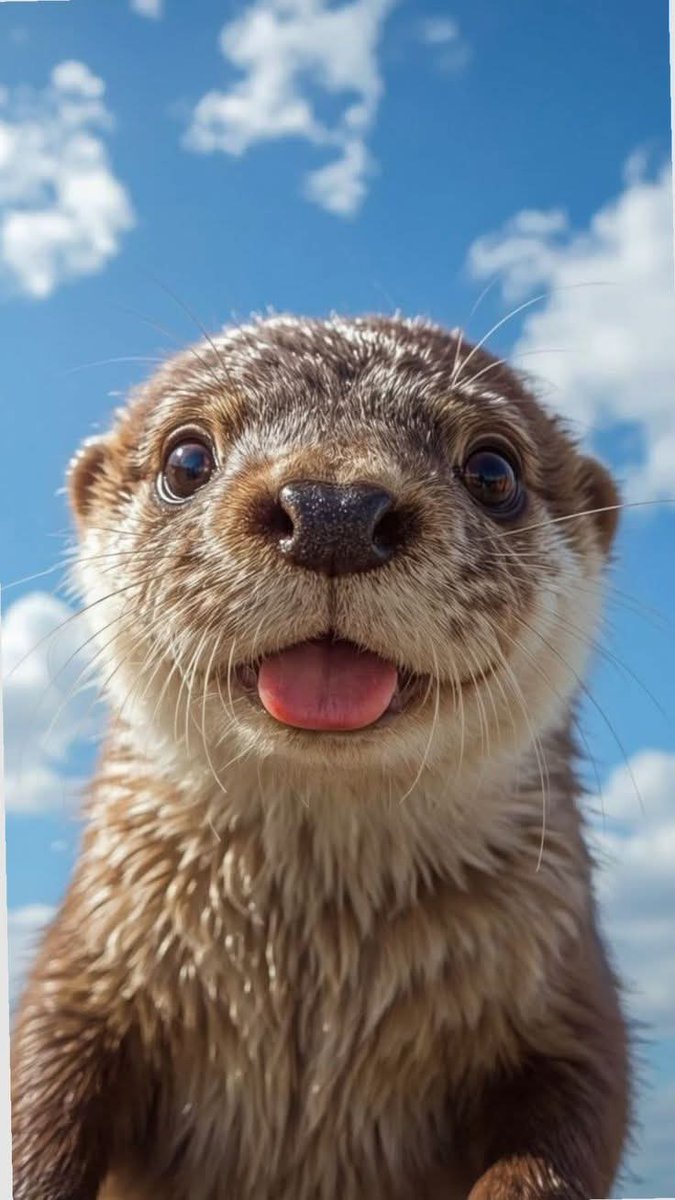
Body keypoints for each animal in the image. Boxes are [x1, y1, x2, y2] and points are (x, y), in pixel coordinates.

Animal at [11, 315, 630, 1200]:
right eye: (185, 459)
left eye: (493, 469)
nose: (333, 508)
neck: (310, 977)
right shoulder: (88, 964)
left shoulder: (565, 1002)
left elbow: (567, 1125)